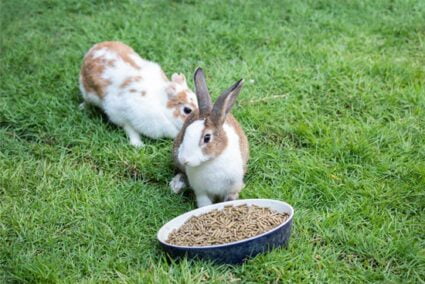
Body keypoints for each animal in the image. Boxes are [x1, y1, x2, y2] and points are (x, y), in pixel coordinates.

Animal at [169, 67, 248, 207]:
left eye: (207, 138)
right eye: (185, 133)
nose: (184, 159)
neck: (210, 161)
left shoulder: (233, 185)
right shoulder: (201, 192)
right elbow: (204, 204)